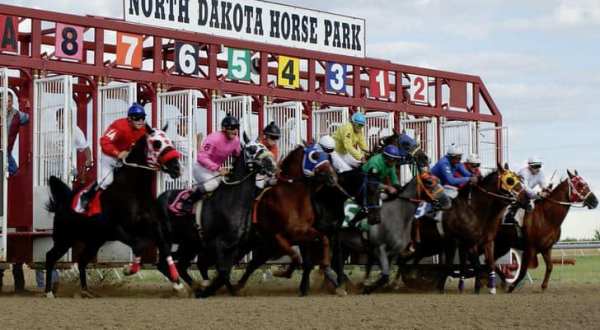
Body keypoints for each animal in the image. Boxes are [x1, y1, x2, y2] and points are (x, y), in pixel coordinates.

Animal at [44, 125, 182, 298]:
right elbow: (139, 244)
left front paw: (177, 281)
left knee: (82, 260)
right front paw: (129, 269)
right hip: (64, 238)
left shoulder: (151, 225)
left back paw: (85, 290)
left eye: (170, 141)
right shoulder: (115, 228)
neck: (132, 189)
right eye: (157, 143)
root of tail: (63, 202)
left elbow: (162, 244)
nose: (177, 167)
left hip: (94, 240)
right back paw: (49, 292)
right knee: (50, 257)